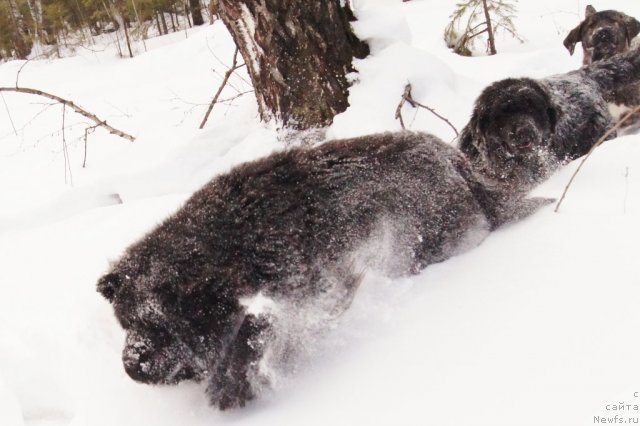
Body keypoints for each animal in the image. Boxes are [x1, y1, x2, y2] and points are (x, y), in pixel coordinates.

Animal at [96, 132, 552, 410]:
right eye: (126, 322)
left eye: (158, 324)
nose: (132, 365)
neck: (234, 245)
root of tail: (456, 160)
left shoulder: (312, 292)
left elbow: (255, 337)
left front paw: (235, 382)